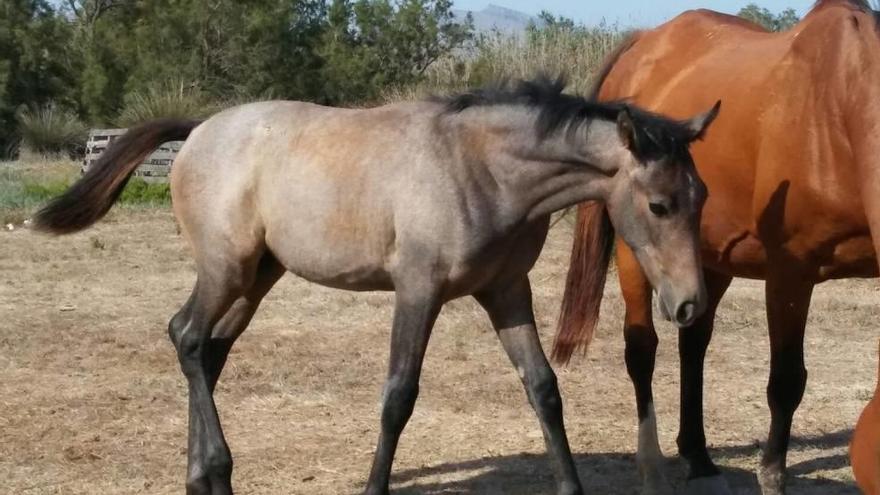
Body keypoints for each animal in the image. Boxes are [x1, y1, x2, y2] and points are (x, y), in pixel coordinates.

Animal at [36, 78, 720, 495]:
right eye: (659, 205)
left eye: (702, 196)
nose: (689, 304)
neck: (479, 168)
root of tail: (201, 130)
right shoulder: (418, 291)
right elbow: (398, 397)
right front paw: (373, 483)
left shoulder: (507, 292)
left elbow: (544, 390)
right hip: (226, 269)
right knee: (187, 337)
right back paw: (217, 468)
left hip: (258, 275)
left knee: (206, 348)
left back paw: (202, 475)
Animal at [556, 0, 880, 495]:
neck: (841, 110)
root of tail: (644, 44)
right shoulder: (789, 275)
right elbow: (786, 381)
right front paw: (772, 476)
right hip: (637, 254)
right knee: (642, 349)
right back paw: (653, 467)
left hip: (712, 259)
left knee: (694, 341)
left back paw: (698, 454)